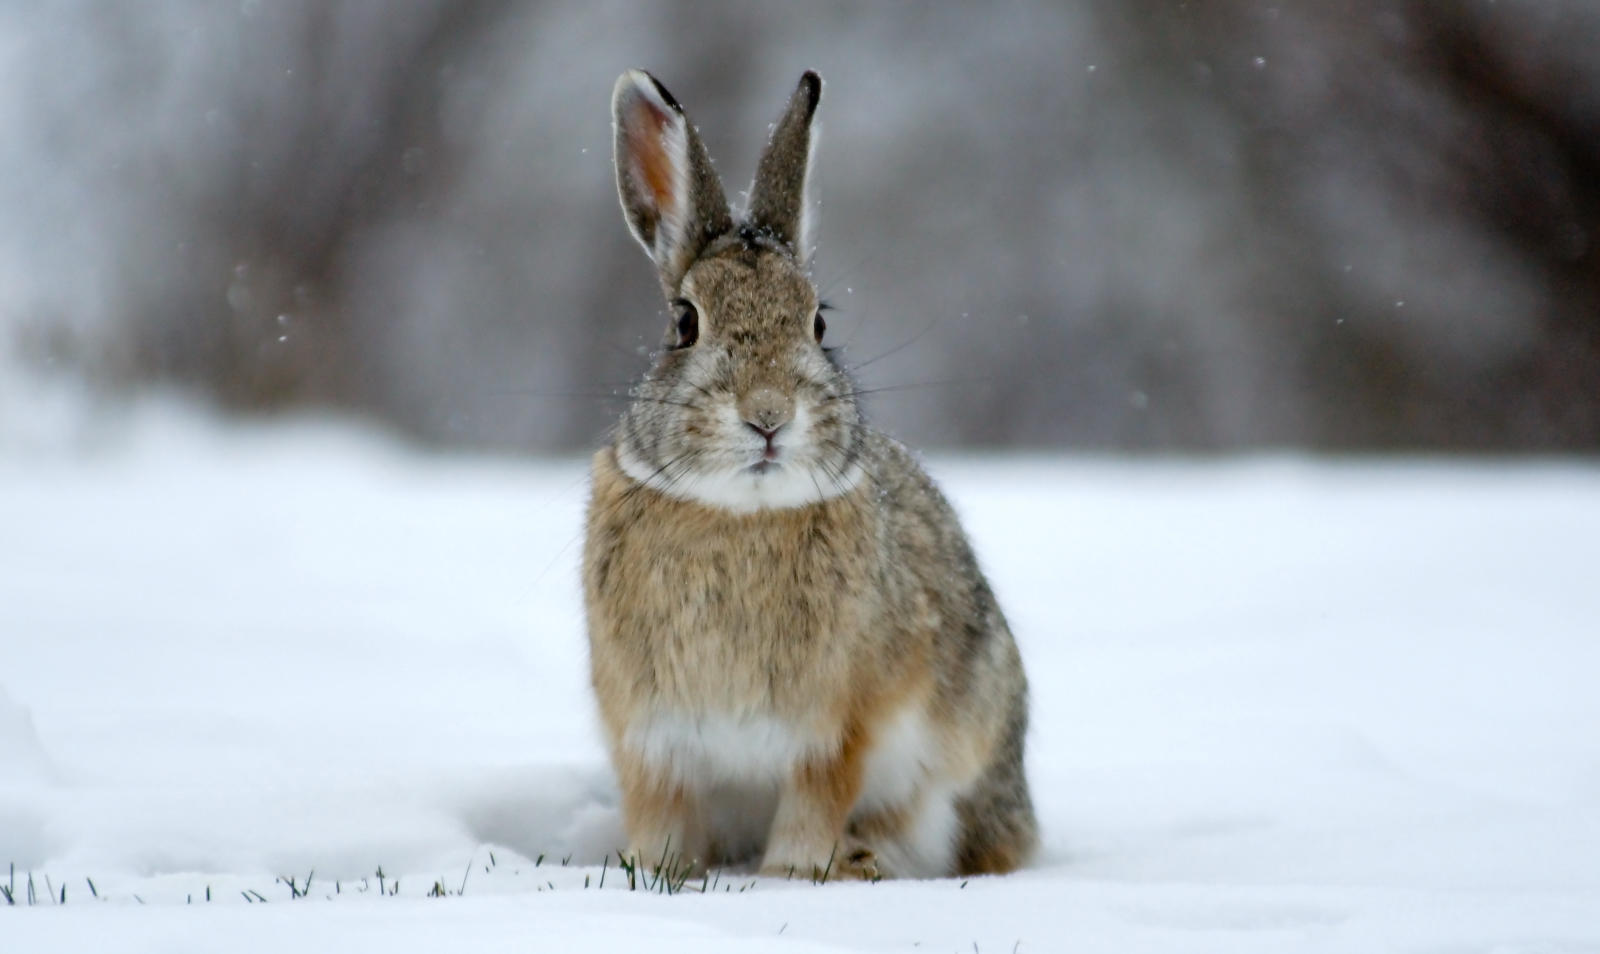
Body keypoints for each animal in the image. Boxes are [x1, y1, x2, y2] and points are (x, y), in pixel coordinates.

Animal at [588, 68, 1036, 877]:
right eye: (684, 323)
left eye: (819, 321)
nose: (768, 416)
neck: (738, 513)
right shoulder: (649, 736)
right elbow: (661, 812)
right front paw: (654, 872)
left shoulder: (837, 730)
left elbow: (814, 801)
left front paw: (792, 875)